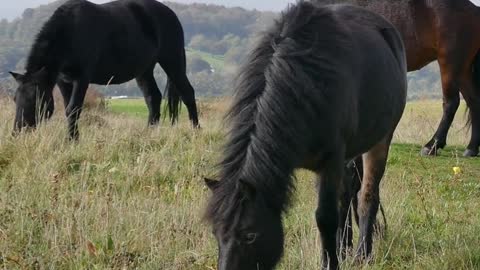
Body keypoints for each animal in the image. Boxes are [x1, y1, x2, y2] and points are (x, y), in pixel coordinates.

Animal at [9, 0, 201, 139]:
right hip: (144, 70)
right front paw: (73, 138)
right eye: (15, 99)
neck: (71, 32)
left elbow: (74, 109)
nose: (18, 131)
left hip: (173, 61)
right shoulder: (63, 81)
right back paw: (148, 133)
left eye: (36, 99)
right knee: (153, 98)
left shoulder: (82, 79)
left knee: (187, 93)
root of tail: (171, 14)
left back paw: (195, 130)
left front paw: (71, 140)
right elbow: (68, 109)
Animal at [204, 2, 406, 270]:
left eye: (250, 235)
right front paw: (334, 254)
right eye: (216, 233)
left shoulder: (330, 162)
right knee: (347, 195)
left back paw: (362, 253)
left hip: (380, 141)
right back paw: (344, 248)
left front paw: (331, 262)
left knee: (366, 197)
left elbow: (325, 217)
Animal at [356, 0, 480, 156]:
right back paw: (471, 148)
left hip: (450, 64)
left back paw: (432, 145)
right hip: (462, 70)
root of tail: (473, 9)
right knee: (474, 102)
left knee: (451, 103)